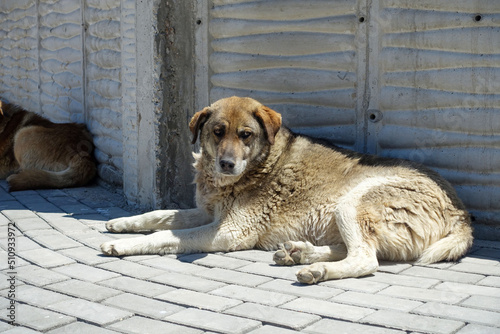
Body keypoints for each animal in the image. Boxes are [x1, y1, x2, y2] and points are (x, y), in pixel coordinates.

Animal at [100, 95, 472, 284]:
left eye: (246, 135)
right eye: (217, 132)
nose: (226, 164)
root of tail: (461, 213)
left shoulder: (229, 232)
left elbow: (163, 236)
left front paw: (122, 244)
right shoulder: (206, 212)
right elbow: (159, 215)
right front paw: (122, 224)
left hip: (353, 203)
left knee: (366, 260)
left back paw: (316, 269)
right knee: (360, 251)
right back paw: (300, 253)